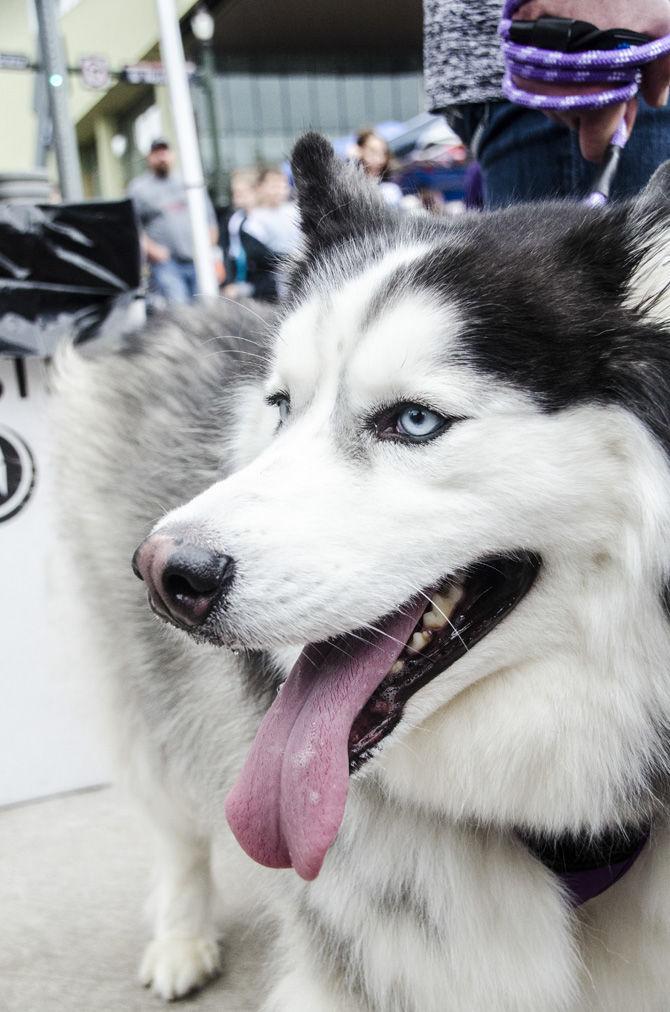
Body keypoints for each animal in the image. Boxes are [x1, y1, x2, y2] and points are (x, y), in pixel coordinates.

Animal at [52, 136, 670, 1011]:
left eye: (414, 420)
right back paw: (179, 937)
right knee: (173, 822)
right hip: (146, 693)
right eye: (281, 407)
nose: (164, 572)